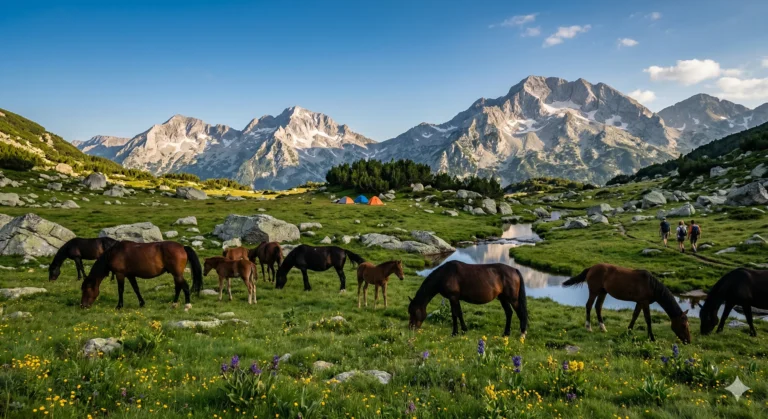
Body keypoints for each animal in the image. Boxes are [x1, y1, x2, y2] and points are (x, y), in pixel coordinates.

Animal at [562, 263, 691, 343]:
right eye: (683, 325)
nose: (688, 341)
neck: (651, 285)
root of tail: (591, 268)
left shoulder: (640, 302)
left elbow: (635, 316)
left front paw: (629, 331)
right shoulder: (644, 302)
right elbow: (648, 319)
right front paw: (652, 338)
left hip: (603, 292)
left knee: (598, 307)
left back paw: (603, 328)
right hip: (594, 291)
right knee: (589, 306)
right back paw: (588, 327)